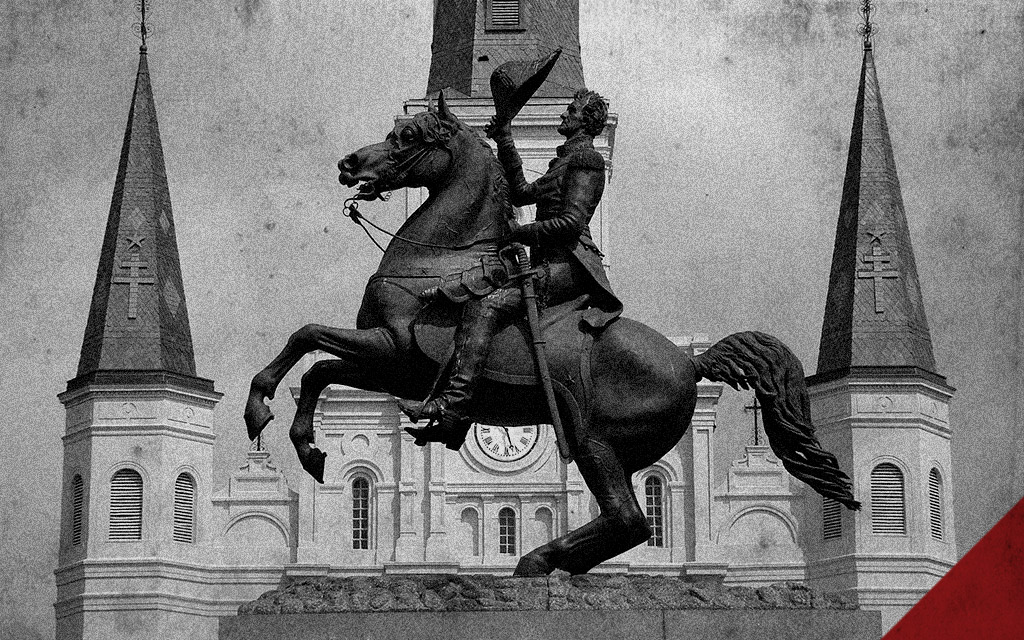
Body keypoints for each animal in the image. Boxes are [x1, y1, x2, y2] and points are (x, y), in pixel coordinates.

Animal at [243, 92, 860, 577]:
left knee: (630, 520)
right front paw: (306, 444)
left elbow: (306, 338)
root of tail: (692, 363)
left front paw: (264, 411)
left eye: (407, 137)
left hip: (595, 442)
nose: (349, 163)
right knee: (620, 520)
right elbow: (317, 365)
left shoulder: (396, 352)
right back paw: (542, 558)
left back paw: (537, 557)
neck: (437, 260)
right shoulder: (394, 369)